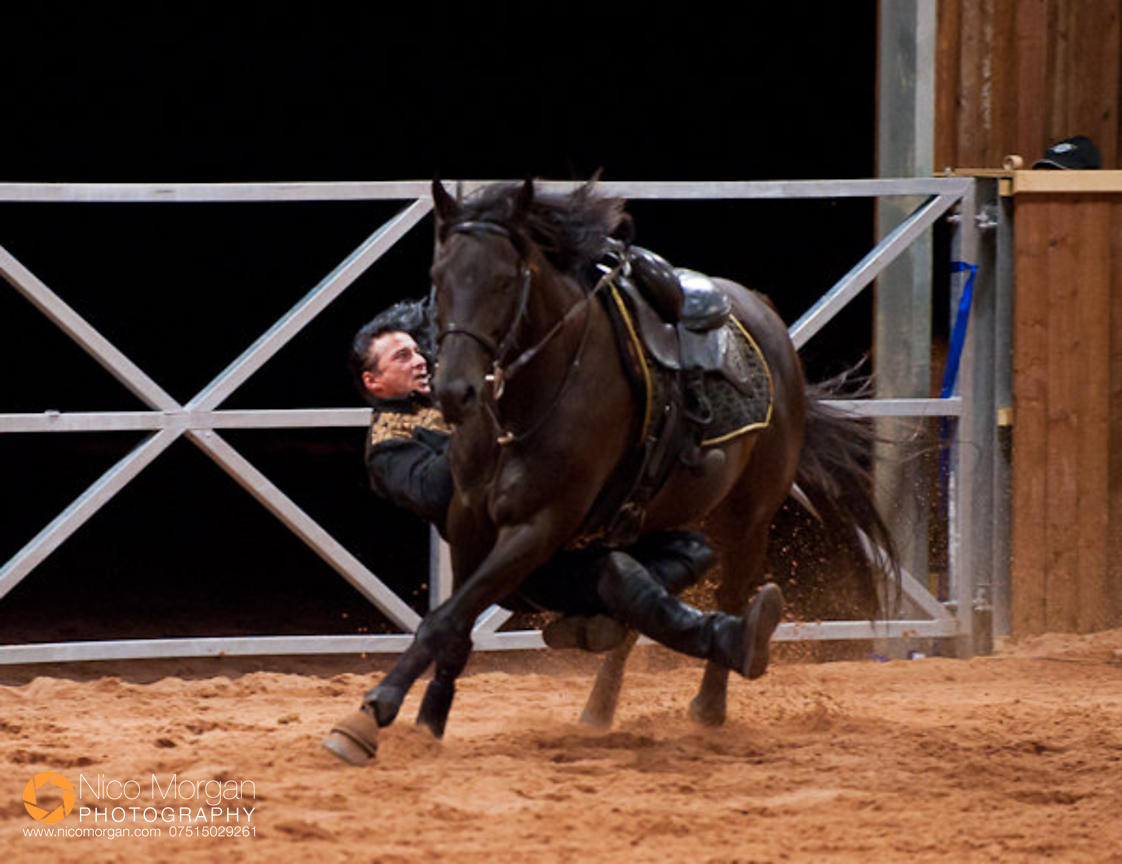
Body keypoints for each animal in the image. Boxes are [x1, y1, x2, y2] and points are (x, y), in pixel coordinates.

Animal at [325, 179, 898, 761]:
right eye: (438, 279)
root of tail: (765, 318)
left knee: (728, 594)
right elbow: (453, 625)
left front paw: (370, 713)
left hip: (750, 513)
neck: (533, 400)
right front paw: (428, 720)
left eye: (505, 280)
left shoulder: (538, 525)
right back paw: (600, 704)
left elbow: (445, 620)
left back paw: (719, 687)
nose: (452, 390)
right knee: (633, 598)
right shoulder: (467, 523)